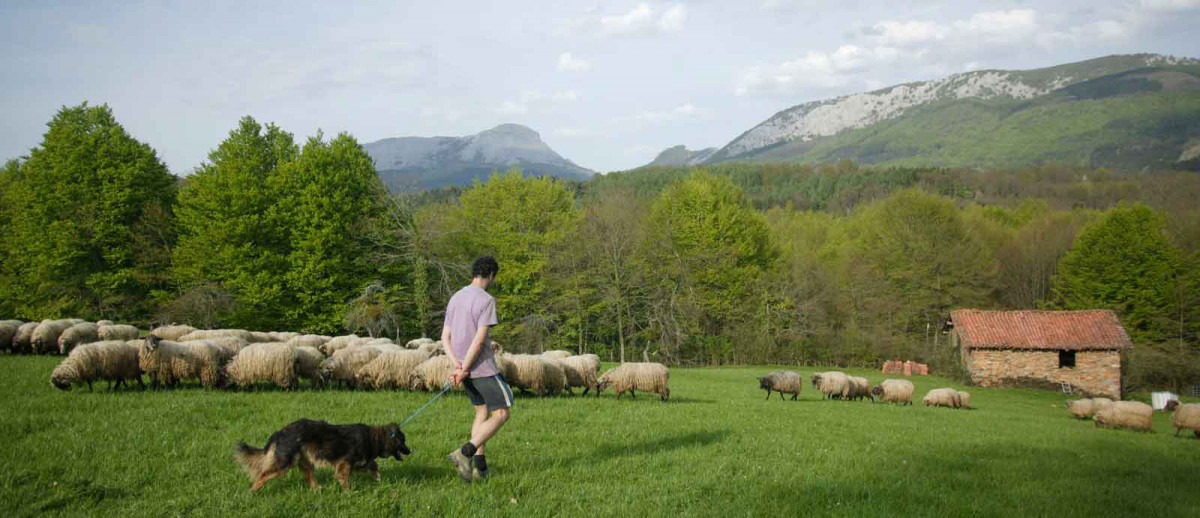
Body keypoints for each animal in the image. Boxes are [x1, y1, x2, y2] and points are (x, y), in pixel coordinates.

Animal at [234, 419, 412, 491]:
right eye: (403, 442)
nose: (411, 451)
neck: (374, 438)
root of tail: (280, 432)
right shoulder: (346, 461)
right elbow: (344, 476)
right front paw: (349, 491)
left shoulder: (358, 461)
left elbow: (373, 464)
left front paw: (378, 478)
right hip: (285, 462)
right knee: (263, 475)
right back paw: (253, 491)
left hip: (304, 460)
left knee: (308, 476)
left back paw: (317, 489)